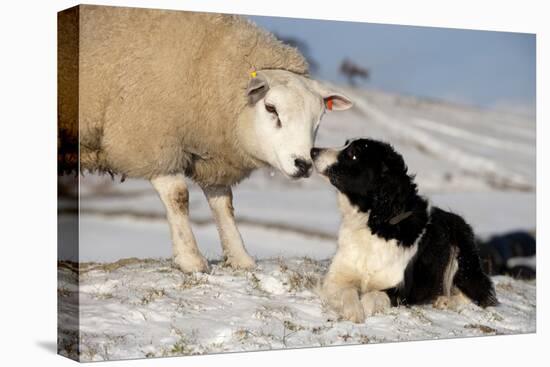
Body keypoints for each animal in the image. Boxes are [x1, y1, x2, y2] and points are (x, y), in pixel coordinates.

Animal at [59, 4, 354, 272]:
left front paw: (240, 257)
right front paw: (191, 259)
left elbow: (224, 205)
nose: (303, 164)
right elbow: (178, 196)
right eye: (271, 108)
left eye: (319, 118)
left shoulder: (213, 156)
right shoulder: (151, 140)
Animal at [312, 139, 498, 324]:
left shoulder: (400, 290)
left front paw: (362, 309)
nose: (313, 151)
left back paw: (445, 301)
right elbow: (347, 291)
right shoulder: (336, 278)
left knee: (480, 294)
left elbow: (374, 295)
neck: (373, 224)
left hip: (463, 256)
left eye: (353, 154)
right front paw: (354, 311)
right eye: (346, 144)